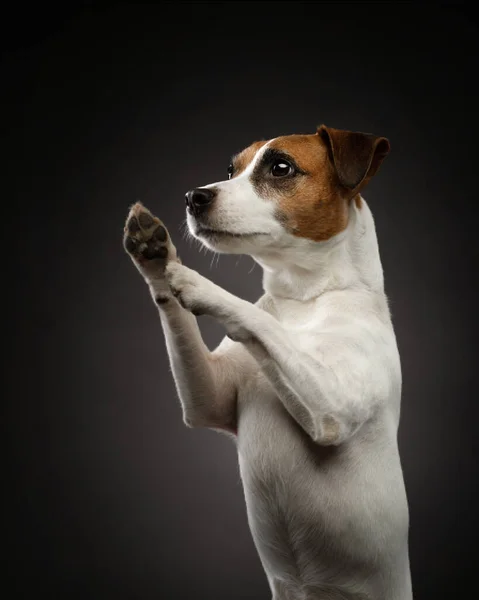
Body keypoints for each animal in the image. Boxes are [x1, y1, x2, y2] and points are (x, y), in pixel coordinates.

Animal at [123, 124, 412, 596]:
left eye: (280, 167)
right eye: (231, 170)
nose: (193, 197)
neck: (305, 298)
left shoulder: (329, 410)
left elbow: (257, 319)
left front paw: (199, 283)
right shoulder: (208, 401)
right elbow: (183, 316)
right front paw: (156, 255)